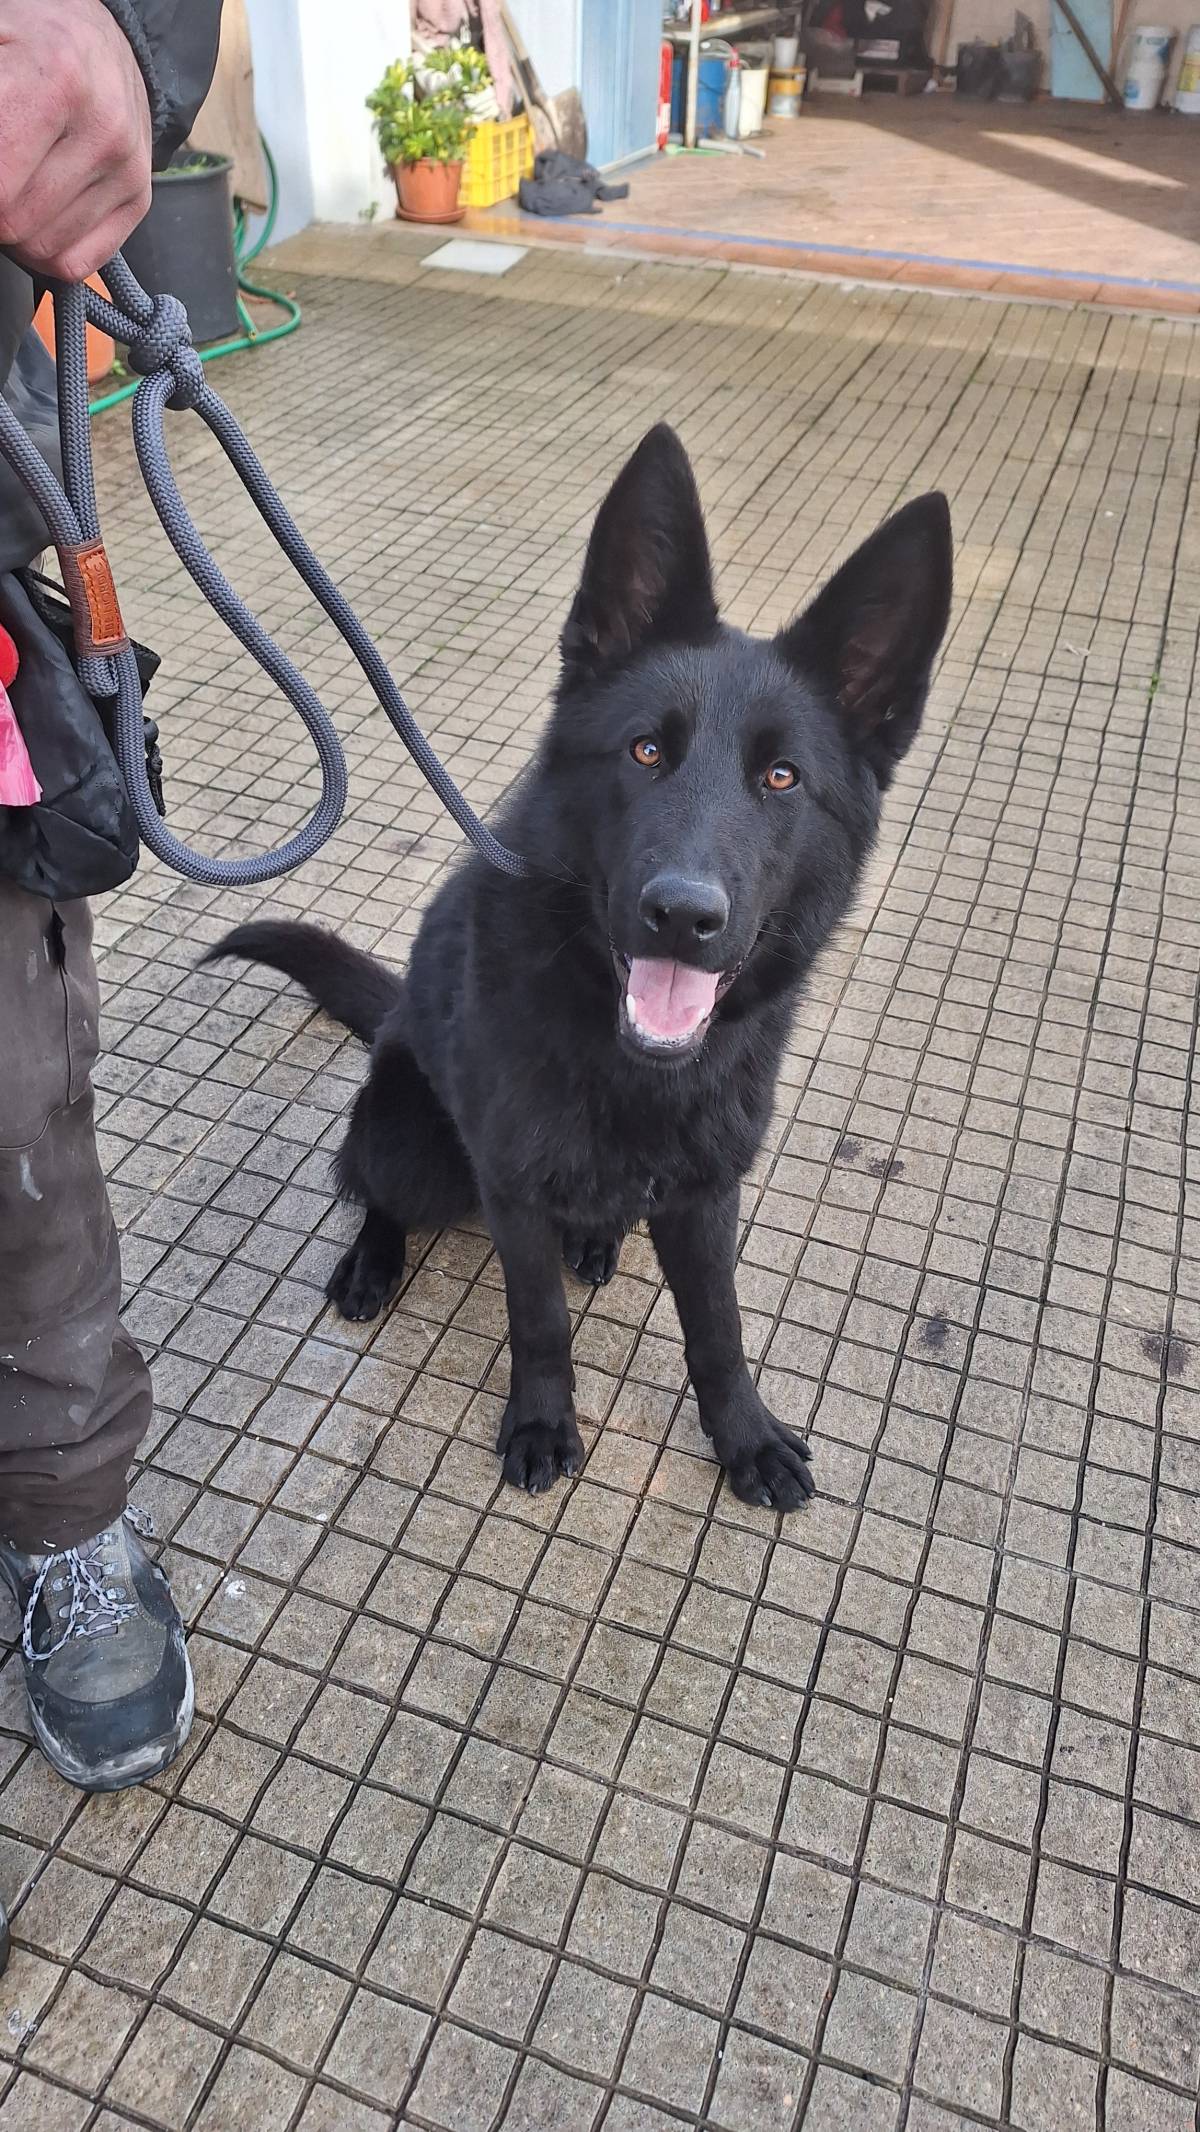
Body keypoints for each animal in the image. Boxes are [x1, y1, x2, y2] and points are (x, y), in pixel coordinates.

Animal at [211, 424, 954, 1509]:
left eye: (782, 777)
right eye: (645, 752)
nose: (681, 916)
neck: (630, 1067)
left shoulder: (704, 1195)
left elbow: (718, 1327)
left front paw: (744, 1436)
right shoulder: (513, 1192)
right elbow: (541, 1323)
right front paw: (539, 1422)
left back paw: (597, 1235)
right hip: (412, 1138)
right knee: (369, 1183)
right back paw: (371, 1258)